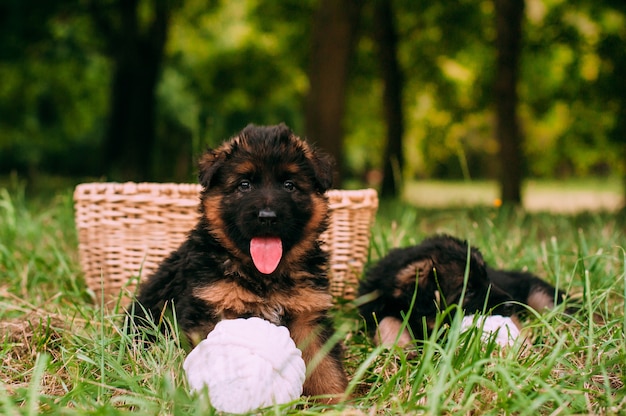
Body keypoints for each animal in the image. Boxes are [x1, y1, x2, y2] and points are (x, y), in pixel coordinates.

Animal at [129, 124, 346, 404]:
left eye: (289, 185)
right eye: (244, 185)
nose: (267, 217)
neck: (265, 276)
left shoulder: (308, 316)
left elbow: (325, 366)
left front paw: (340, 403)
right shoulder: (213, 309)